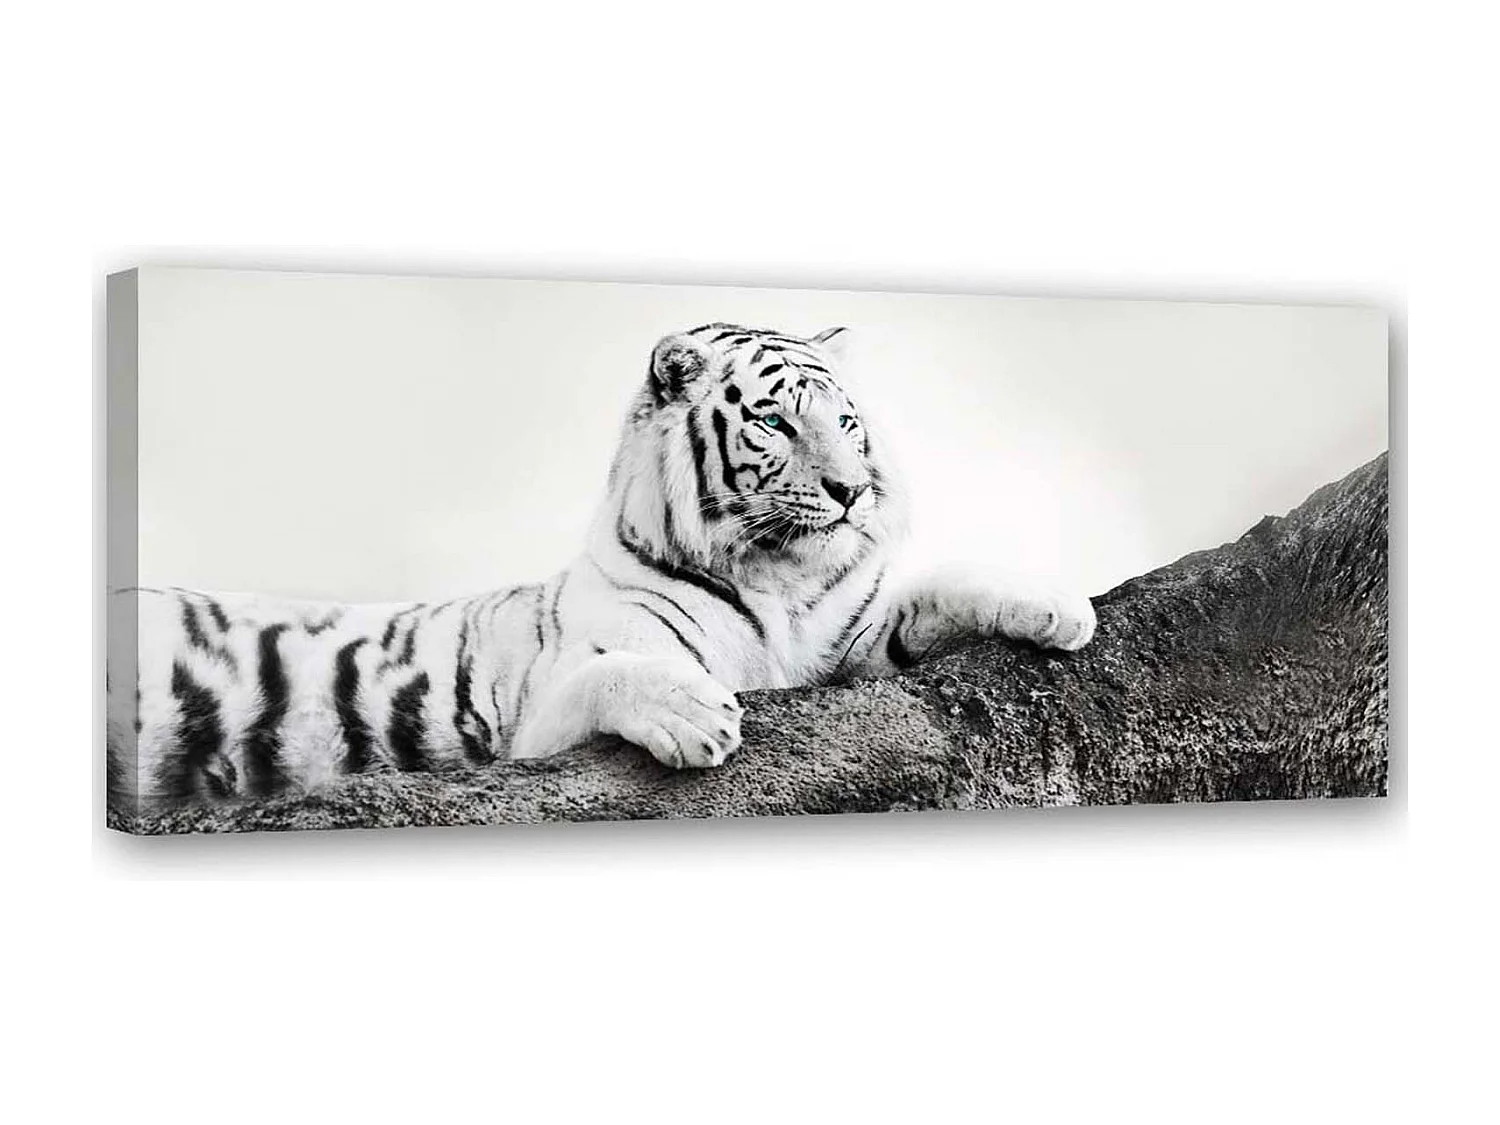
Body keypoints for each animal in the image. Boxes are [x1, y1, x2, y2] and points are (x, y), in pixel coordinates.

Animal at [107, 322, 1096, 809]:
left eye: (847, 423)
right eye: (776, 421)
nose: (853, 491)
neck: (778, 578)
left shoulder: (853, 641)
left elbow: (941, 586)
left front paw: (1061, 606)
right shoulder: (541, 716)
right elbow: (617, 673)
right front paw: (699, 716)